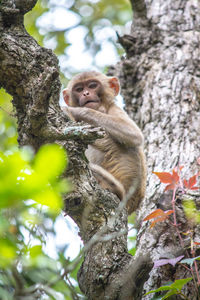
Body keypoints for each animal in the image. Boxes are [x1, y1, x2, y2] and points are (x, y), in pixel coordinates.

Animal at [61, 71, 146, 214]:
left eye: (92, 85)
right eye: (79, 89)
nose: (86, 93)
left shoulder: (114, 108)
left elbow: (134, 135)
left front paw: (73, 111)